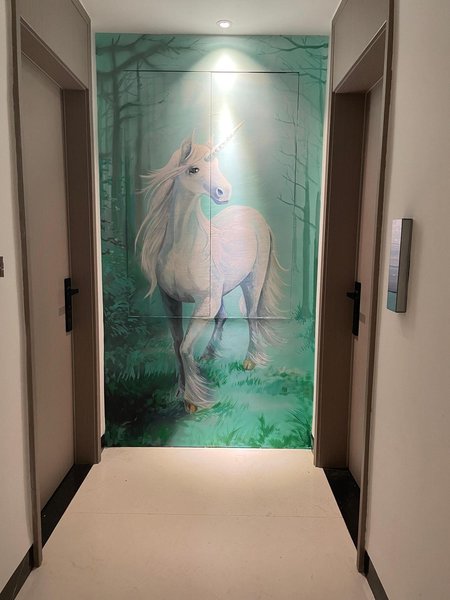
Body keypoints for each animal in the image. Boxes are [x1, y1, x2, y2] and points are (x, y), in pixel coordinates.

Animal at [136, 127, 283, 413]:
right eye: (194, 169)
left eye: (216, 165)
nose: (224, 192)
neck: (183, 248)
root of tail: (254, 215)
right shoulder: (170, 301)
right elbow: (177, 345)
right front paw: (180, 390)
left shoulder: (205, 302)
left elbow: (184, 348)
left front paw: (193, 400)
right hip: (222, 292)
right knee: (223, 316)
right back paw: (209, 354)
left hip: (252, 282)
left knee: (251, 316)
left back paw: (250, 361)